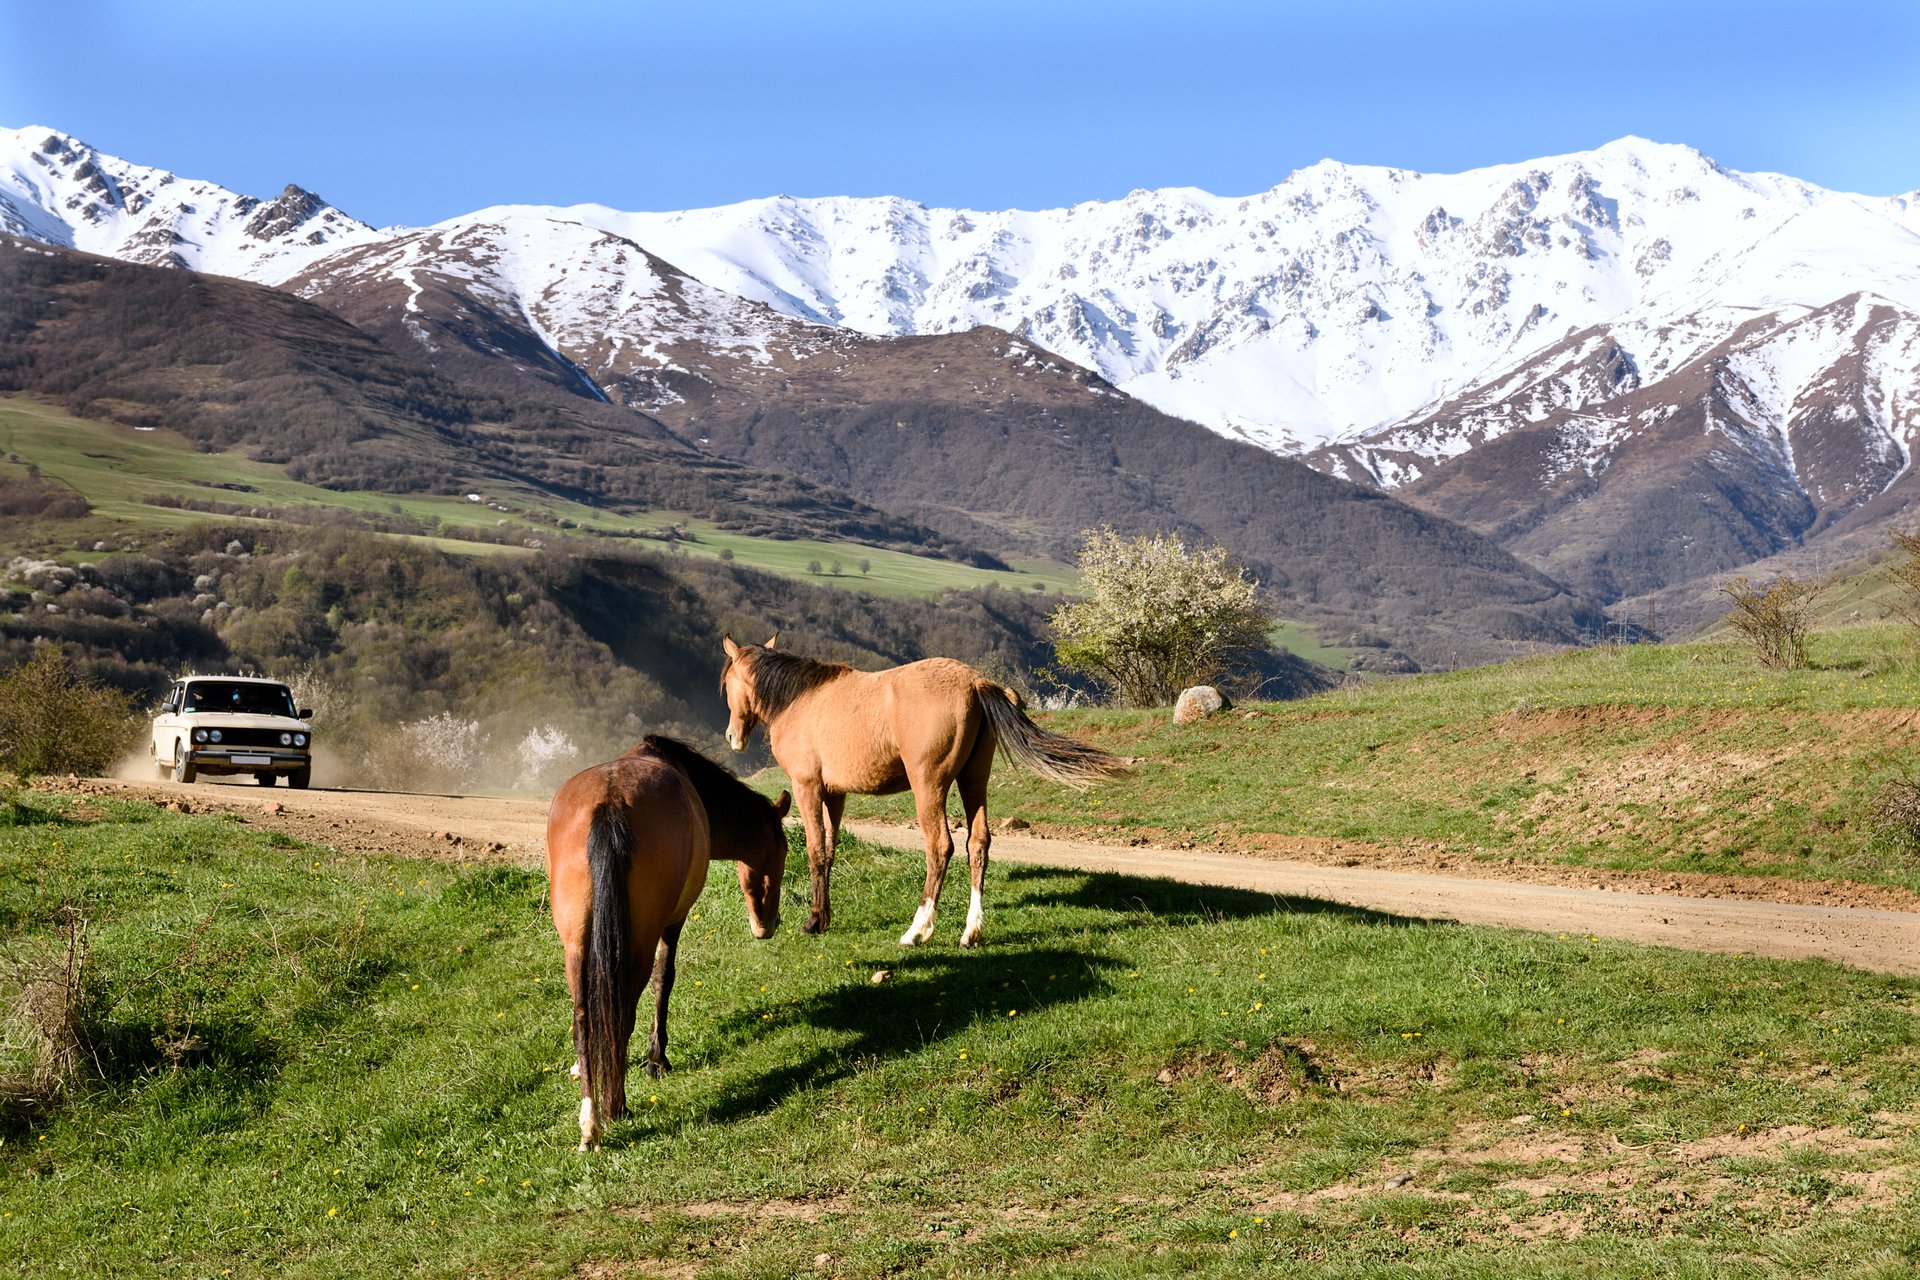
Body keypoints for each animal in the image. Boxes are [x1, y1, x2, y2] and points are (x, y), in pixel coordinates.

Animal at [541, 729, 787, 1151]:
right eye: (784, 851)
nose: (767, 925)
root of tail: (610, 803)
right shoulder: (674, 920)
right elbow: (664, 978)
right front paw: (657, 1059)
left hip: (576, 945)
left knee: (583, 1015)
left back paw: (590, 1121)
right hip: (637, 942)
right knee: (622, 1009)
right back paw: (615, 1106)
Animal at [718, 637, 1121, 948]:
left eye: (728, 681)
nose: (732, 736)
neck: (802, 699)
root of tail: (976, 683)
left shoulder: (808, 789)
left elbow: (816, 852)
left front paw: (814, 921)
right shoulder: (836, 795)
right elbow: (830, 851)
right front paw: (825, 917)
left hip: (929, 787)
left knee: (940, 847)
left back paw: (918, 929)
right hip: (973, 782)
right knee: (978, 844)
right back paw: (971, 931)